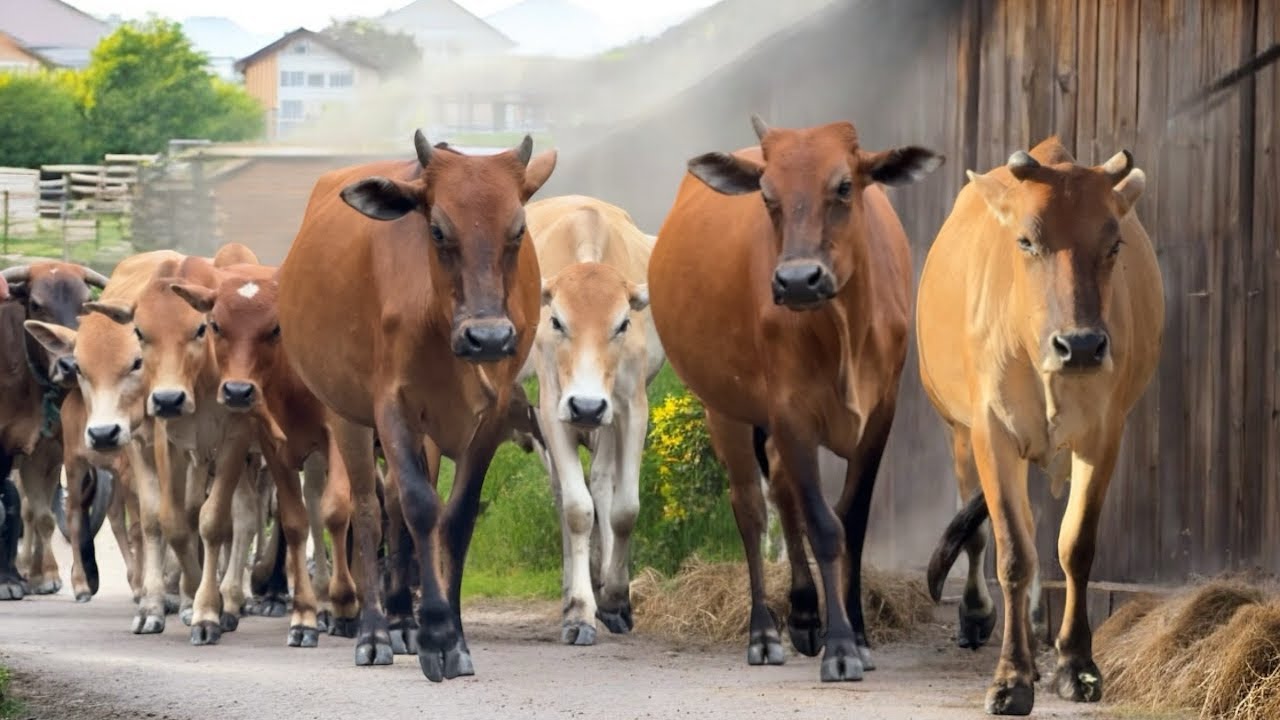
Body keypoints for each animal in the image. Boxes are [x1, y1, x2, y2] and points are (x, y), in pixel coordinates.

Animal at [0, 261, 108, 600]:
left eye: (86, 302)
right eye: (36, 304)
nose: (71, 365)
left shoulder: (44, 451)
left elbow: (42, 516)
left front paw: (43, 575)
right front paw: (9, 580)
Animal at [277, 130, 555, 680]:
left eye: (518, 229)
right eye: (438, 229)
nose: (488, 338)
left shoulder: (489, 418)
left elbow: (456, 518)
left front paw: (456, 638)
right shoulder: (392, 407)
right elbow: (419, 507)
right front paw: (437, 636)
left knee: (393, 507)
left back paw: (403, 620)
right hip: (347, 416)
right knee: (368, 509)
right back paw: (376, 632)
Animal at [648, 115, 942, 682]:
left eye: (845, 186)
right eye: (767, 195)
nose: (797, 280)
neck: (843, 330)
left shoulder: (881, 415)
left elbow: (852, 522)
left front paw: (859, 637)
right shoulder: (790, 412)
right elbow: (824, 525)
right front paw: (841, 647)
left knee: (782, 490)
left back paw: (805, 613)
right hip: (725, 410)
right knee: (750, 507)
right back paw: (765, 632)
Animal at [915, 138, 1161, 716]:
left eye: (1114, 242)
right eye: (1027, 240)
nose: (1083, 346)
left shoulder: (1103, 435)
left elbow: (1075, 546)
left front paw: (1076, 665)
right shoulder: (990, 434)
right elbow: (1012, 551)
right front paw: (1011, 678)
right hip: (957, 431)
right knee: (988, 533)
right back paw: (982, 617)